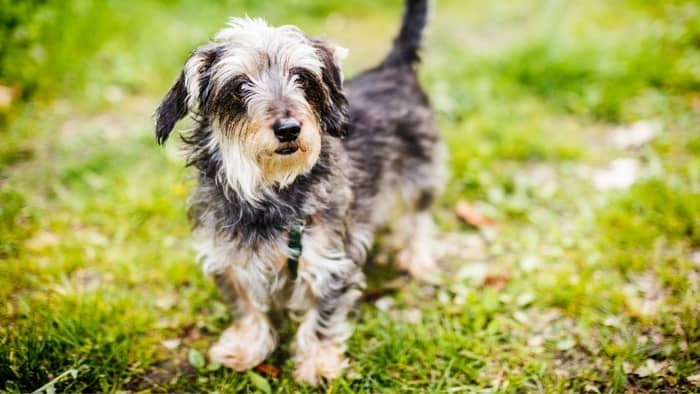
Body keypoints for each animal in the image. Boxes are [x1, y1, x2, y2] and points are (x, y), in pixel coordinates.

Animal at [155, 0, 446, 384]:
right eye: (239, 85)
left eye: (303, 77)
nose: (289, 128)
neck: (271, 190)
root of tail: (392, 66)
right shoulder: (227, 258)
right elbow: (245, 307)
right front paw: (245, 347)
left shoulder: (328, 261)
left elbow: (321, 318)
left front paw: (318, 364)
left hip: (420, 174)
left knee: (419, 218)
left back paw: (418, 258)